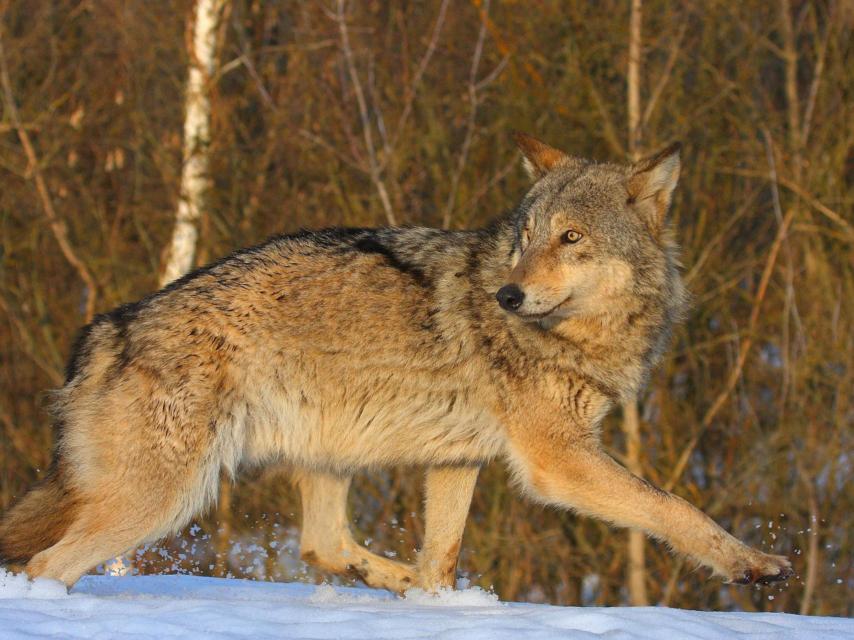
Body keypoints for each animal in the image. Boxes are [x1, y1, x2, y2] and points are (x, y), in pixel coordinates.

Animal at [0, 132, 796, 592]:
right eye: (528, 238)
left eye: (571, 239)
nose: (509, 295)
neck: (578, 334)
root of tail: (107, 328)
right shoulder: (558, 461)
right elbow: (674, 507)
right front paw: (750, 563)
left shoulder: (457, 461)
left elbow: (442, 554)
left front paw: (439, 599)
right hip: (167, 498)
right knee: (44, 566)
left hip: (323, 457)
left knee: (324, 547)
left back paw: (401, 584)